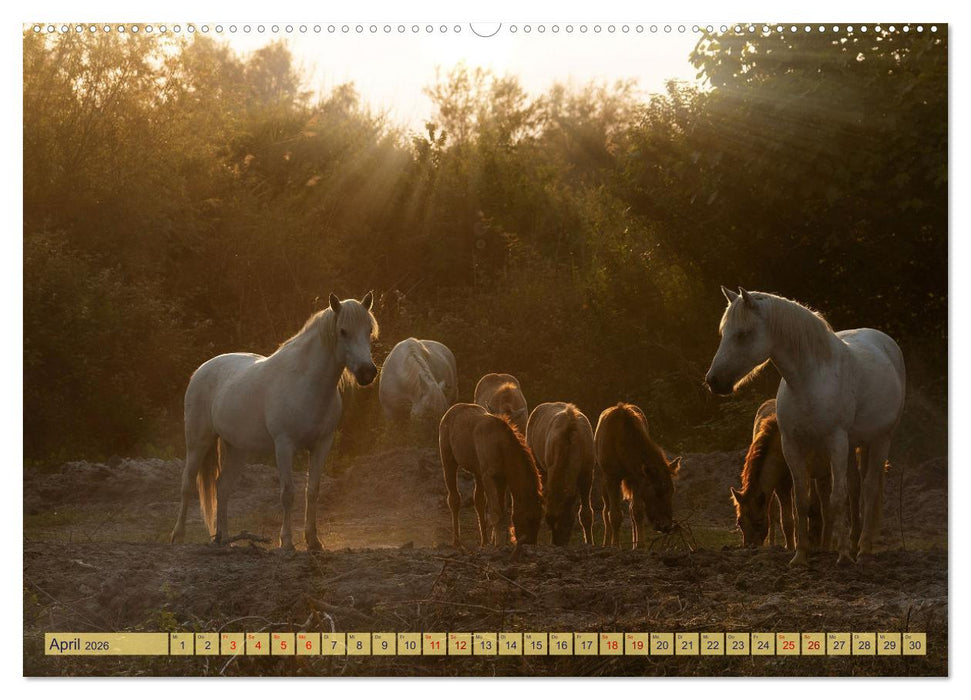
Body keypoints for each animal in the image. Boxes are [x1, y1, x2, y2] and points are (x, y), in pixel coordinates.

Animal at [169, 292, 379, 550]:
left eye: (369, 330)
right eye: (343, 331)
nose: (367, 372)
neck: (305, 382)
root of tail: (201, 369)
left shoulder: (322, 444)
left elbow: (313, 490)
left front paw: (313, 541)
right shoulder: (284, 445)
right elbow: (287, 493)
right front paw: (286, 541)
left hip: (237, 448)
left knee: (223, 487)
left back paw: (224, 539)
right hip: (198, 441)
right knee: (187, 484)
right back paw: (178, 537)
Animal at [439, 403, 542, 548]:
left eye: (540, 517)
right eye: (529, 517)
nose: (530, 543)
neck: (502, 446)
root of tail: (451, 410)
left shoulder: (502, 479)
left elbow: (502, 510)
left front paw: (497, 540)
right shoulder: (489, 477)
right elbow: (496, 512)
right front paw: (498, 542)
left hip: (478, 472)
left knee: (479, 502)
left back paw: (485, 541)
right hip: (448, 460)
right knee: (454, 500)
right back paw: (457, 541)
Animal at [525, 402, 596, 545]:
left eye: (566, 522)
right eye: (549, 520)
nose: (557, 543)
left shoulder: (587, 475)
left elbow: (586, 514)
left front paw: (590, 542)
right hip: (540, 469)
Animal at [594, 403, 682, 548]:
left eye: (672, 490)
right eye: (656, 491)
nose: (666, 526)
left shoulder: (637, 478)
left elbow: (637, 512)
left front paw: (639, 545)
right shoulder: (612, 476)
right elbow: (615, 515)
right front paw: (615, 545)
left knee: (631, 509)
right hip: (603, 478)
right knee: (605, 510)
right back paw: (606, 543)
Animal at [731, 399, 832, 550]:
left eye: (759, 522)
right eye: (740, 522)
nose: (750, 546)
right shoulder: (780, 484)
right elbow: (786, 520)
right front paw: (789, 546)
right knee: (774, 513)